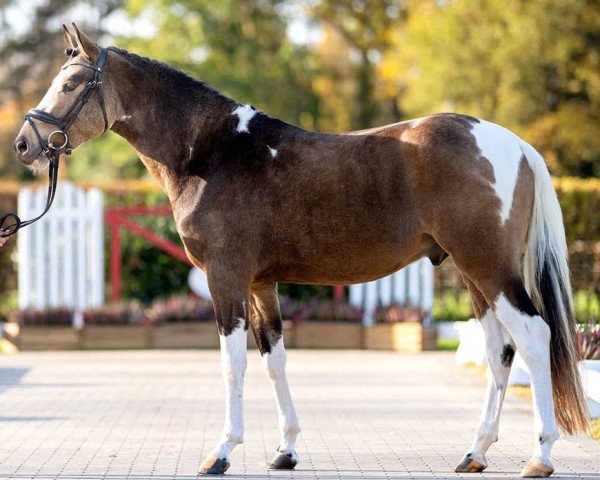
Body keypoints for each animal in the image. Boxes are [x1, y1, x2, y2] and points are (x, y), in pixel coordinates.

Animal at [14, 25, 584, 476]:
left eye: (70, 84)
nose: (24, 144)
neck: (211, 153)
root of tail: (514, 144)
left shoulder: (225, 278)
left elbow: (233, 364)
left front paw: (221, 452)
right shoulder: (260, 283)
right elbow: (275, 360)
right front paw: (285, 450)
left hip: (488, 267)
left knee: (534, 336)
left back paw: (541, 456)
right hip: (472, 272)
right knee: (499, 349)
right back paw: (475, 452)